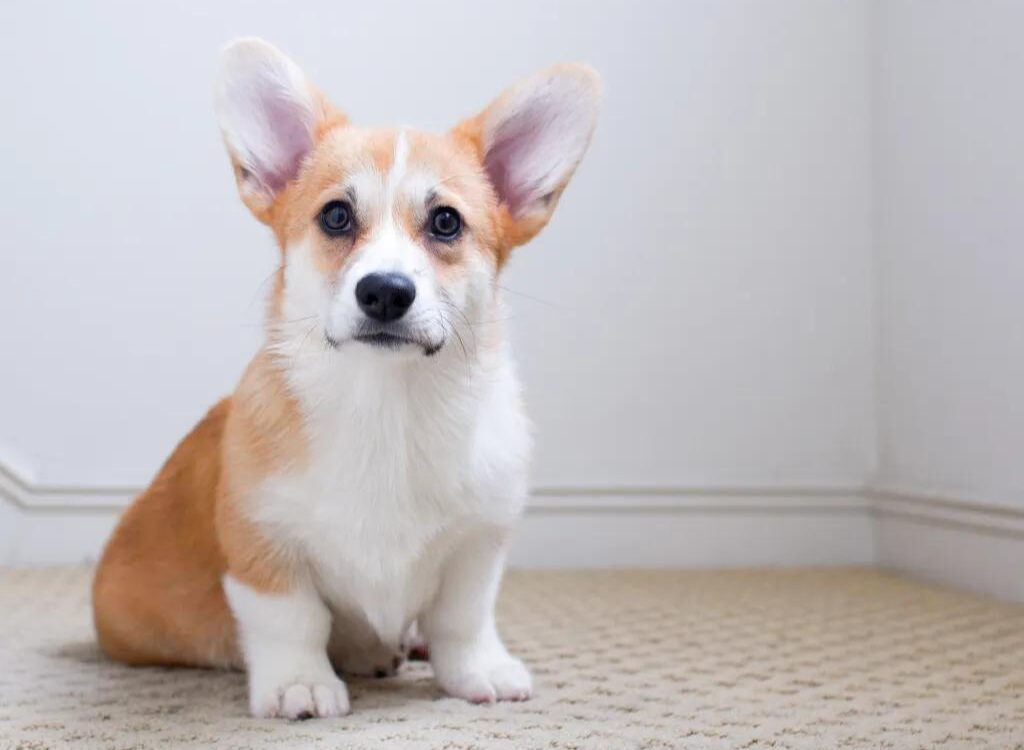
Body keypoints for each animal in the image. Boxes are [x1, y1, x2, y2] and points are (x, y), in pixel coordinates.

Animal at [92, 38, 598, 717]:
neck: (387, 404)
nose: (384, 291)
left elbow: (463, 618)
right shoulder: (263, 543)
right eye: (335, 216)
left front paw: (476, 672)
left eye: (446, 223)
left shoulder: (480, 540)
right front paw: (299, 684)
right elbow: (293, 619)